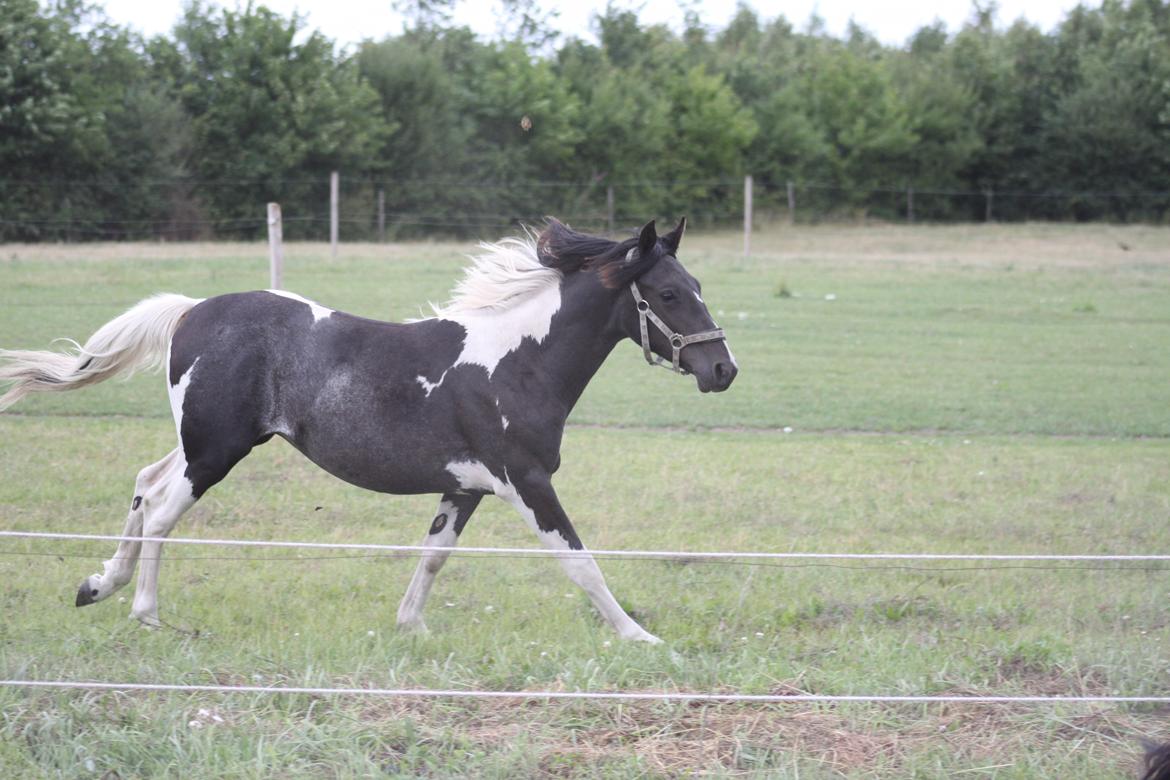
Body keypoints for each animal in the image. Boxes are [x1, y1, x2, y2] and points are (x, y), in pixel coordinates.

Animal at [0, 218, 730, 640]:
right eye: (668, 293)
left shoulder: (467, 487)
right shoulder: (526, 481)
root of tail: (189, 313)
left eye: (697, 282)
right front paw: (640, 638)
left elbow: (433, 556)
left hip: (197, 442)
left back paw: (98, 585)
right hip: (214, 451)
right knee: (160, 510)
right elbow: (580, 562)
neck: (515, 361)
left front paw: (411, 629)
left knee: (145, 483)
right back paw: (147, 614)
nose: (723, 368)